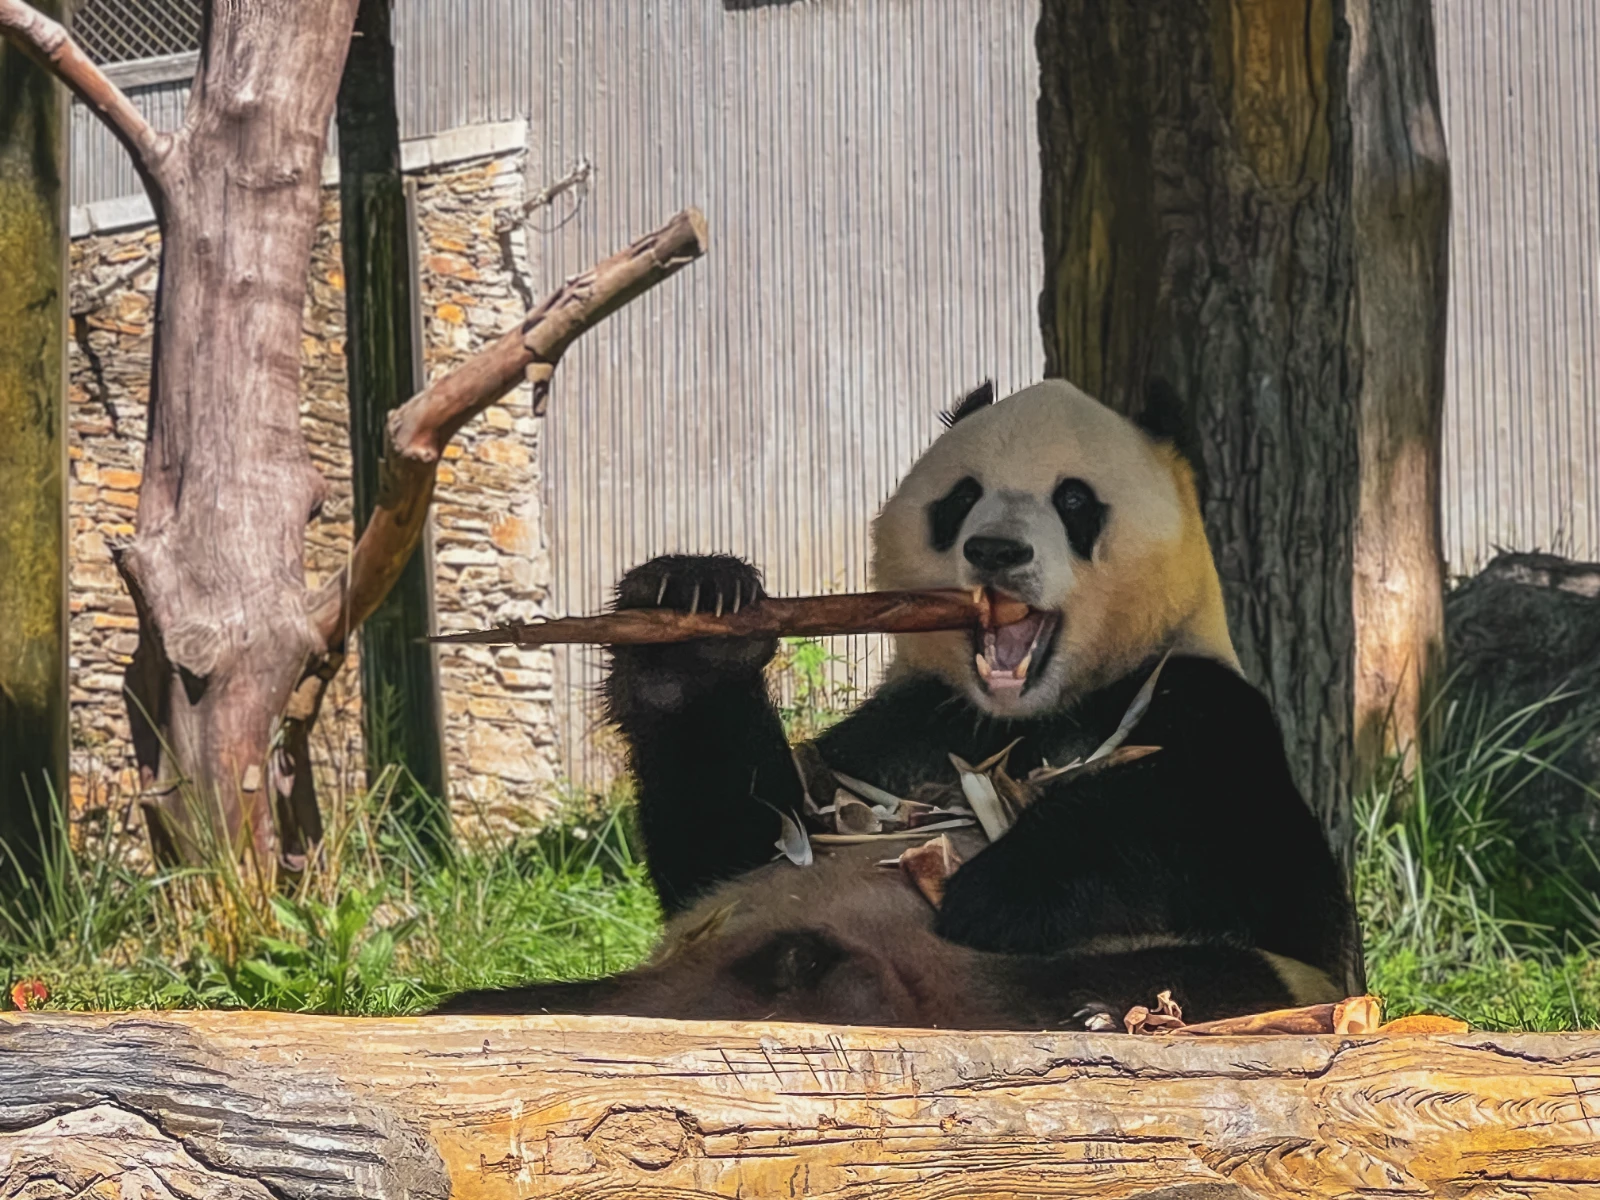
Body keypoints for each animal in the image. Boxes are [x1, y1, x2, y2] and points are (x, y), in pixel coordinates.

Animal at [437, 379, 1362, 1026]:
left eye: (1073, 499)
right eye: (961, 499)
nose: (996, 551)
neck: (1012, 722)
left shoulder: (1194, 700)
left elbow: (1210, 830)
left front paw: (994, 889)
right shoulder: (896, 732)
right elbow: (739, 843)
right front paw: (691, 615)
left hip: (1203, 977)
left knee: (1208, 972)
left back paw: (1097, 1010)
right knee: (485, 1005)